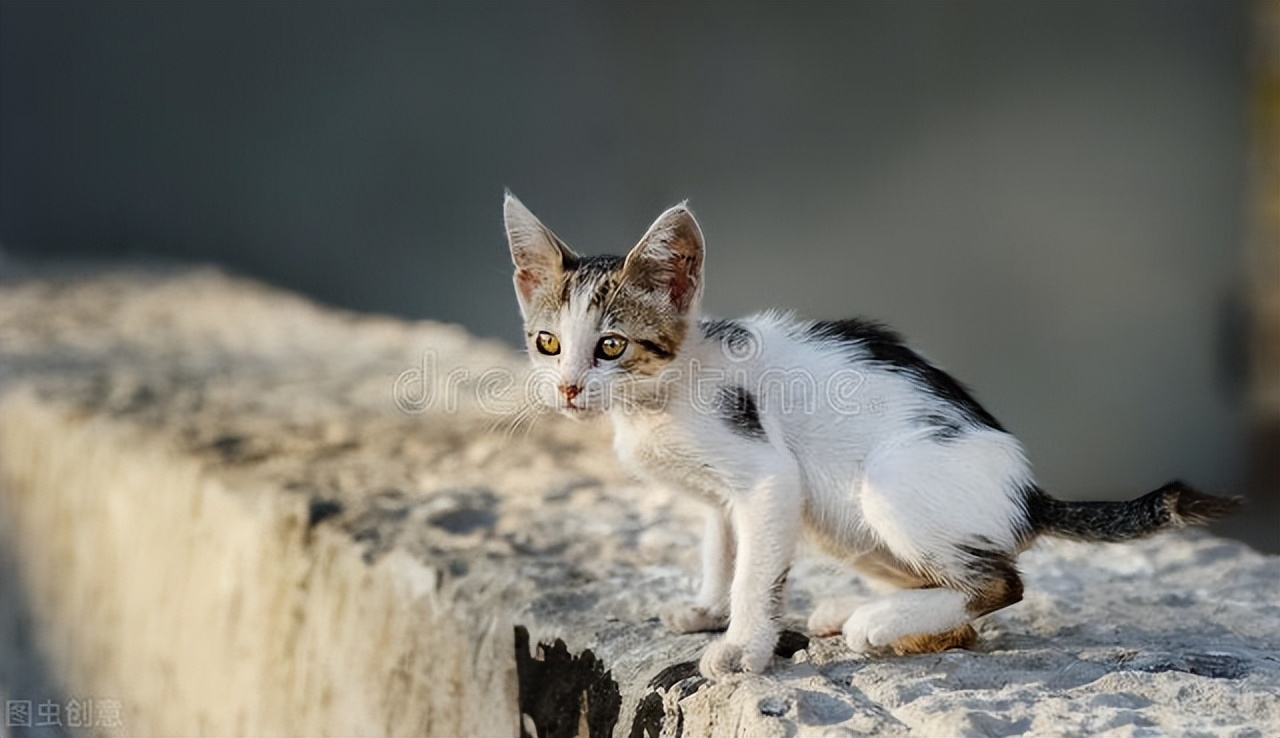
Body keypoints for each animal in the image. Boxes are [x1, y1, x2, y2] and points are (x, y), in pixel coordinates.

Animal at [504, 193, 1244, 675]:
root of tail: (1030, 495)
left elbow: (755, 572)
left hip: (883, 483)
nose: (568, 388)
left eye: (611, 346)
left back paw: (876, 623)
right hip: (844, 523)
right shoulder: (723, 496)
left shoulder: (769, 477)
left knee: (1000, 584)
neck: (660, 393)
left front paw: (742, 647)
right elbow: (723, 547)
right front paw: (708, 608)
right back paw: (860, 610)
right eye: (548, 343)